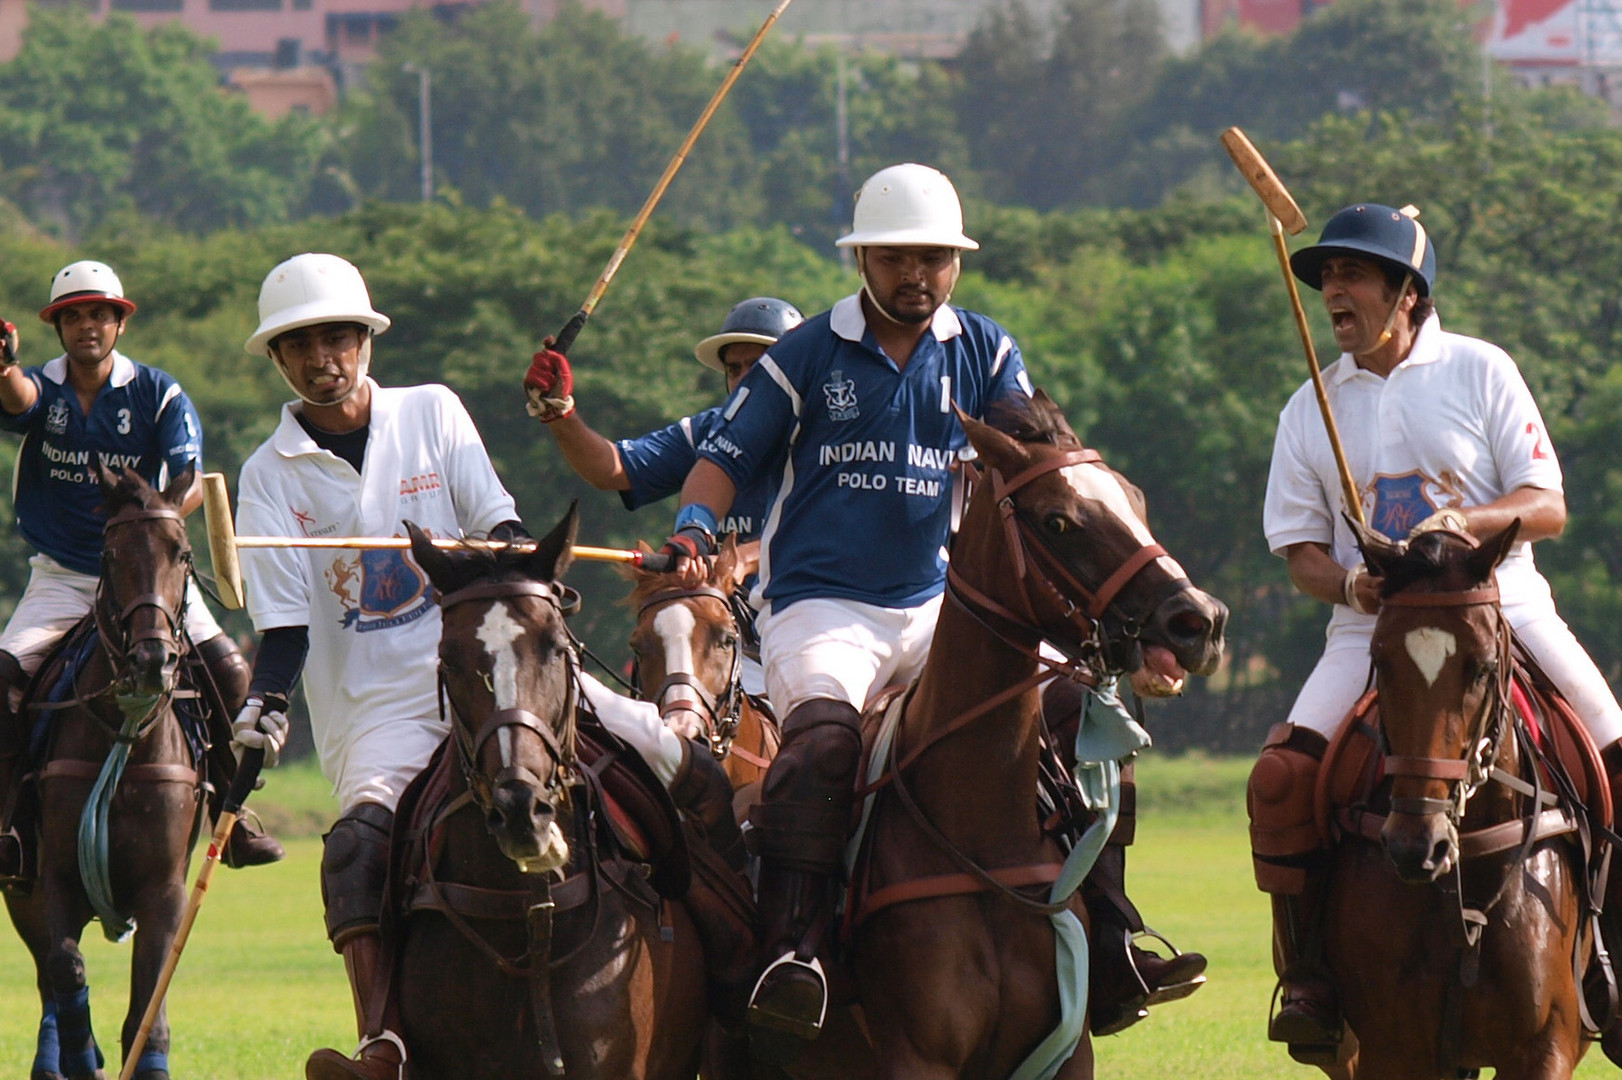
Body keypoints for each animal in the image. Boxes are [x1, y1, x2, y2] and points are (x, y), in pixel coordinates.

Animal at [5, 463, 205, 1076]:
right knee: (48, 976)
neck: (128, 735)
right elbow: (66, 969)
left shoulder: (164, 889)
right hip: (21, 887)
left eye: (182, 553)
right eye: (111, 553)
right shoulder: (57, 877)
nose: (152, 660)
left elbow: (146, 1015)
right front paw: (78, 1056)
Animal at [849, 395, 1226, 1076]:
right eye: (1058, 522)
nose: (1201, 622)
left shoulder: (1070, 1049)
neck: (979, 831)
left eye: (1136, 500)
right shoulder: (916, 1057)